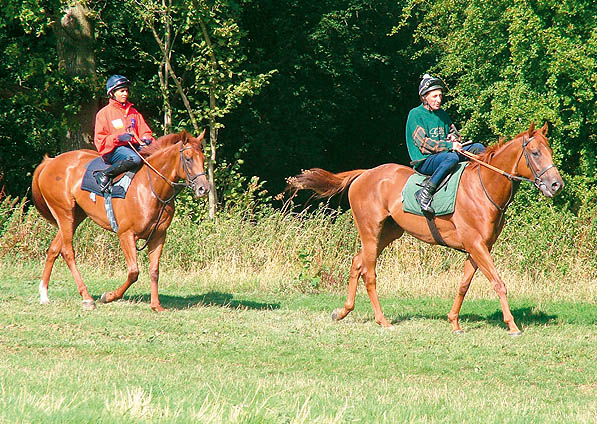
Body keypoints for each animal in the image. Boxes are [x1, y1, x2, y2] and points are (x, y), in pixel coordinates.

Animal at [32, 130, 211, 312]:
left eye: (203, 158)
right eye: (188, 158)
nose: (203, 188)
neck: (149, 187)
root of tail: (50, 162)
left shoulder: (158, 236)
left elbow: (154, 271)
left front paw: (156, 305)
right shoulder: (126, 234)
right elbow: (133, 272)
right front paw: (109, 296)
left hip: (75, 217)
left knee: (54, 249)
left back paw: (44, 294)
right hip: (65, 215)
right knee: (68, 252)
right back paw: (87, 298)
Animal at [288, 121, 564, 334]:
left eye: (549, 150)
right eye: (536, 153)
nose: (556, 185)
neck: (484, 185)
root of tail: (365, 174)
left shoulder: (478, 248)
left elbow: (464, 285)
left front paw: (454, 323)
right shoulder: (477, 246)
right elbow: (498, 283)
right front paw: (512, 326)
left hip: (388, 233)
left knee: (357, 263)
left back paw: (343, 311)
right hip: (370, 231)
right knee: (369, 273)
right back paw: (382, 320)